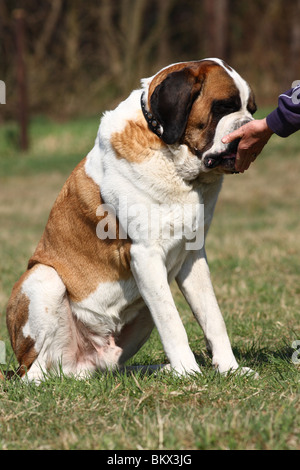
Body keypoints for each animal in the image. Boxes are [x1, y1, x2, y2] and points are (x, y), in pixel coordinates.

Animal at [5, 57, 258, 382]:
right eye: (223, 107)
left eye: (251, 109)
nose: (248, 127)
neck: (171, 158)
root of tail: (79, 368)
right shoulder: (146, 257)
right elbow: (172, 322)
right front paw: (189, 373)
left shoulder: (193, 257)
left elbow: (213, 317)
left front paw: (230, 369)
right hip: (44, 278)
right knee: (36, 372)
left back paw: (158, 370)